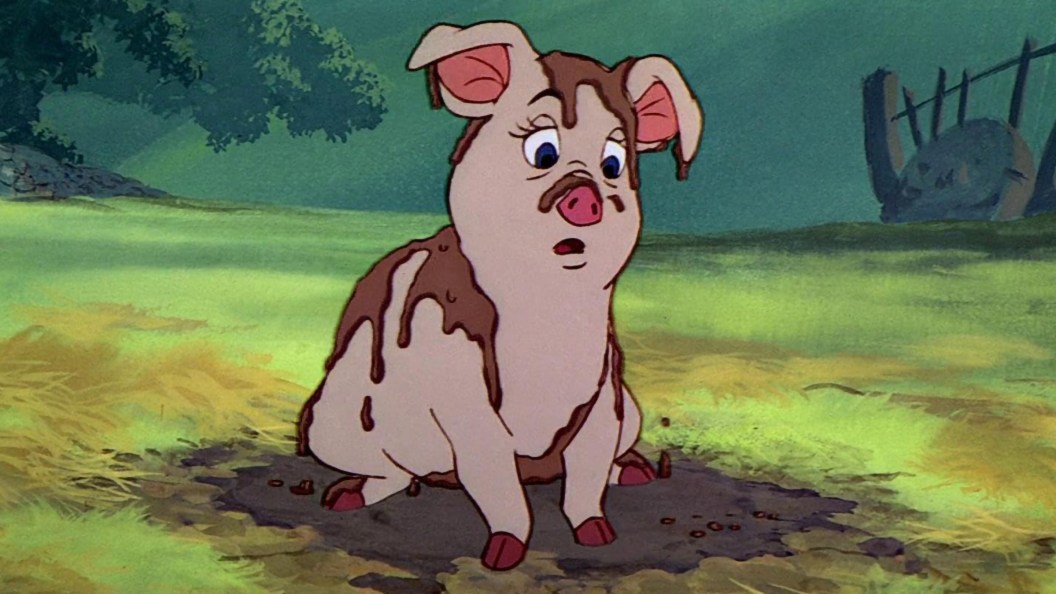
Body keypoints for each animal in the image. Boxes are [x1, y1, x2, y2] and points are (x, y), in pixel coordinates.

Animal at [296, 21, 703, 571]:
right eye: (543, 151)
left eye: (614, 163)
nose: (585, 199)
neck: (545, 301)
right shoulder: (463, 392)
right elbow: (494, 478)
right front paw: (503, 554)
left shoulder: (603, 393)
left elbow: (588, 472)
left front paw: (597, 533)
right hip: (333, 418)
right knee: (393, 469)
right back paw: (349, 494)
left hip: (633, 412)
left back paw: (633, 469)